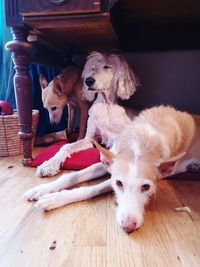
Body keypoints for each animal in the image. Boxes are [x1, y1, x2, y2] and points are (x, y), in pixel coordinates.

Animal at [23, 105, 197, 233]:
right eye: (119, 183)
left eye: (146, 187)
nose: (128, 227)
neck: (141, 142)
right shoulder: (108, 162)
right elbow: (71, 176)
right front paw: (41, 189)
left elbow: (92, 188)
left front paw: (54, 198)